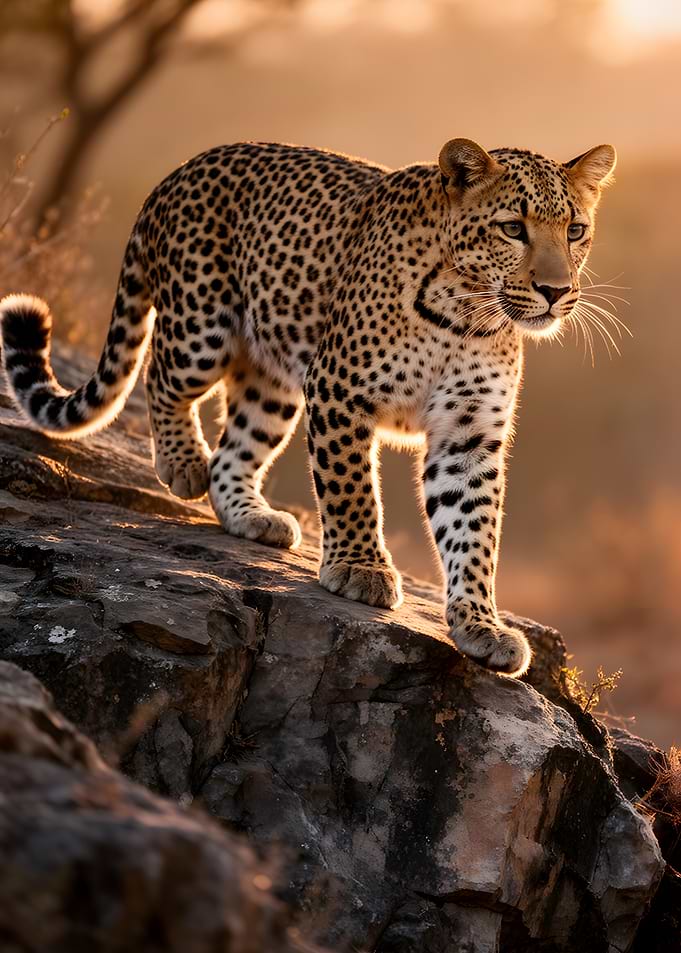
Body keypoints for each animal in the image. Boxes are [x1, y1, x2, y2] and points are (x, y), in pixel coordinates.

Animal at [0, 137, 616, 678]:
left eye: (576, 231)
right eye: (513, 228)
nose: (557, 291)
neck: (467, 318)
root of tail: (179, 170)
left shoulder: (467, 435)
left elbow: (474, 533)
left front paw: (481, 625)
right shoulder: (340, 391)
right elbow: (352, 491)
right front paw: (361, 569)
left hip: (271, 382)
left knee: (235, 452)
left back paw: (254, 516)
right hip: (201, 328)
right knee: (159, 375)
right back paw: (182, 462)